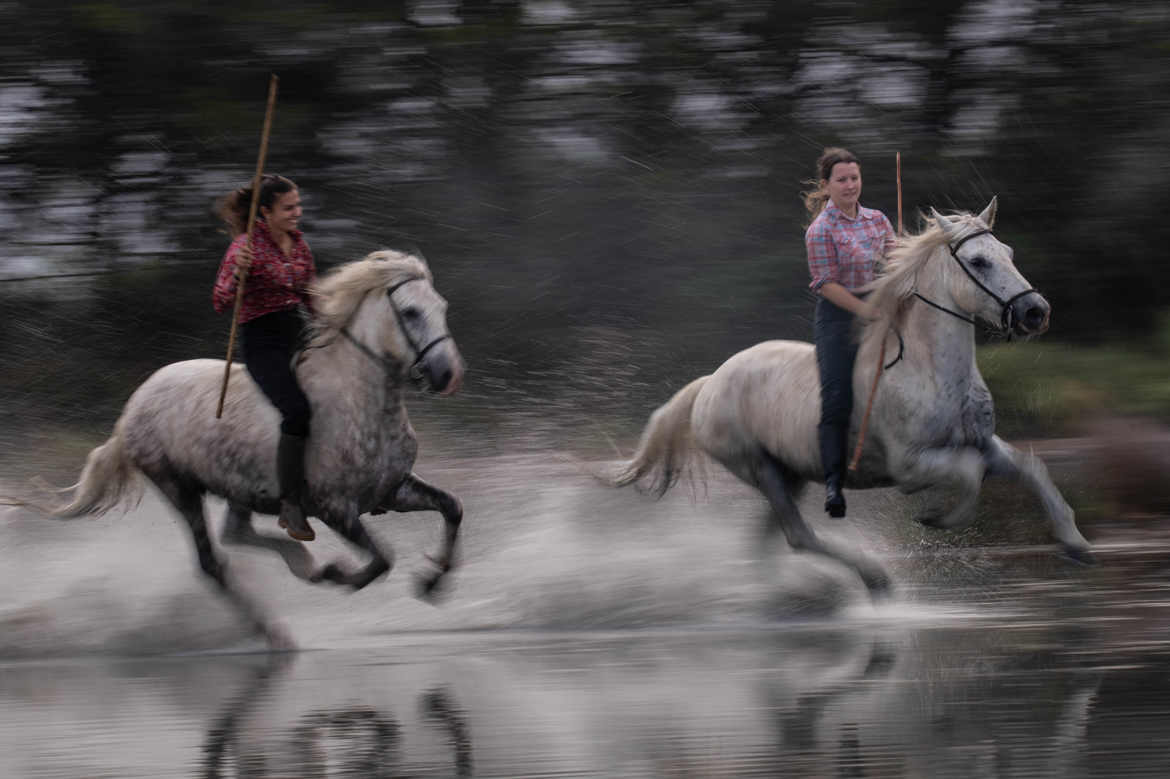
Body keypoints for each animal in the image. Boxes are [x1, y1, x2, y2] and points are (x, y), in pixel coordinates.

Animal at [54, 249, 465, 640]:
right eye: (410, 312)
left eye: (442, 307)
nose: (446, 373)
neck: (359, 401)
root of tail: (134, 405)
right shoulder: (335, 509)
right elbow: (382, 559)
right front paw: (336, 574)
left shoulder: (392, 491)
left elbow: (452, 508)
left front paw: (432, 583)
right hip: (179, 488)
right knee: (212, 562)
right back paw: (275, 631)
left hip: (240, 489)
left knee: (235, 534)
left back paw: (300, 562)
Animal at [608, 200, 1090, 594]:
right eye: (978, 261)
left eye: (1008, 252)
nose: (1036, 312)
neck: (931, 371)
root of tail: (710, 382)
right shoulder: (911, 463)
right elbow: (971, 475)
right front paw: (937, 518)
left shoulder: (984, 444)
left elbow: (1031, 469)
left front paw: (1076, 544)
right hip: (761, 469)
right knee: (799, 536)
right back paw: (873, 579)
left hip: (791, 473)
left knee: (772, 542)